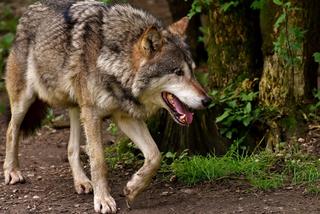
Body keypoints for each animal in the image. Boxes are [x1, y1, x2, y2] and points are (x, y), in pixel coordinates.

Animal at [3, 0, 212, 213]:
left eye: (193, 71)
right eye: (178, 72)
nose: (207, 100)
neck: (113, 61)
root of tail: (29, 9)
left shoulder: (124, 117)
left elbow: (155, 155)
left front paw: (133, 189)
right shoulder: (93, 114)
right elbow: (99, 161)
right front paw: (103, 199)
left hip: (77, 108)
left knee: (71, 148)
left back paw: (81, 182)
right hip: (25, 102)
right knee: (11, 130)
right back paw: (12, 171)